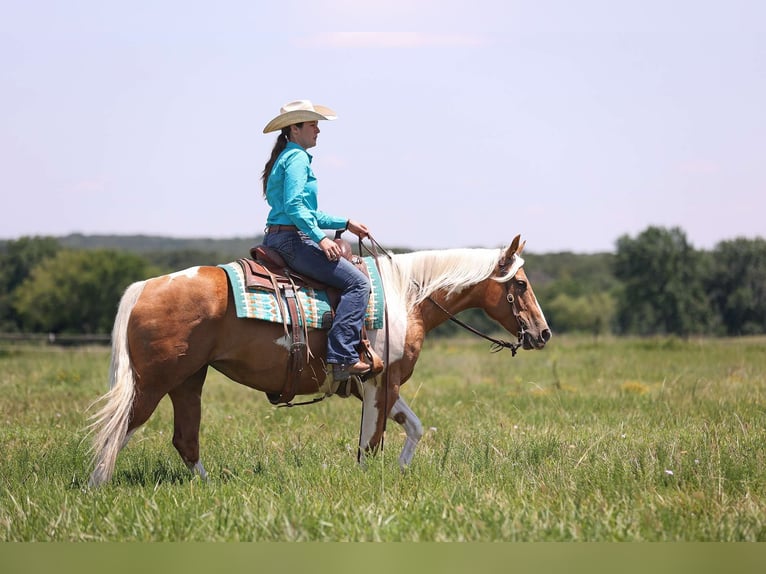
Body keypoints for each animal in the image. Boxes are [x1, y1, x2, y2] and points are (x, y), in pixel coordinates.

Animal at [87, 234, 551, 486]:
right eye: (520, 284)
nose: (543, 333)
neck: (405, 297)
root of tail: (146, 286)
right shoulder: (381, 384)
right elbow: (371, 444)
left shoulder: (378, 385)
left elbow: (414, 429)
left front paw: (401, 471)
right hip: (153, 383)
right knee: (118, 433)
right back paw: (96, 488)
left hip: (188, 381)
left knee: (185, 441)